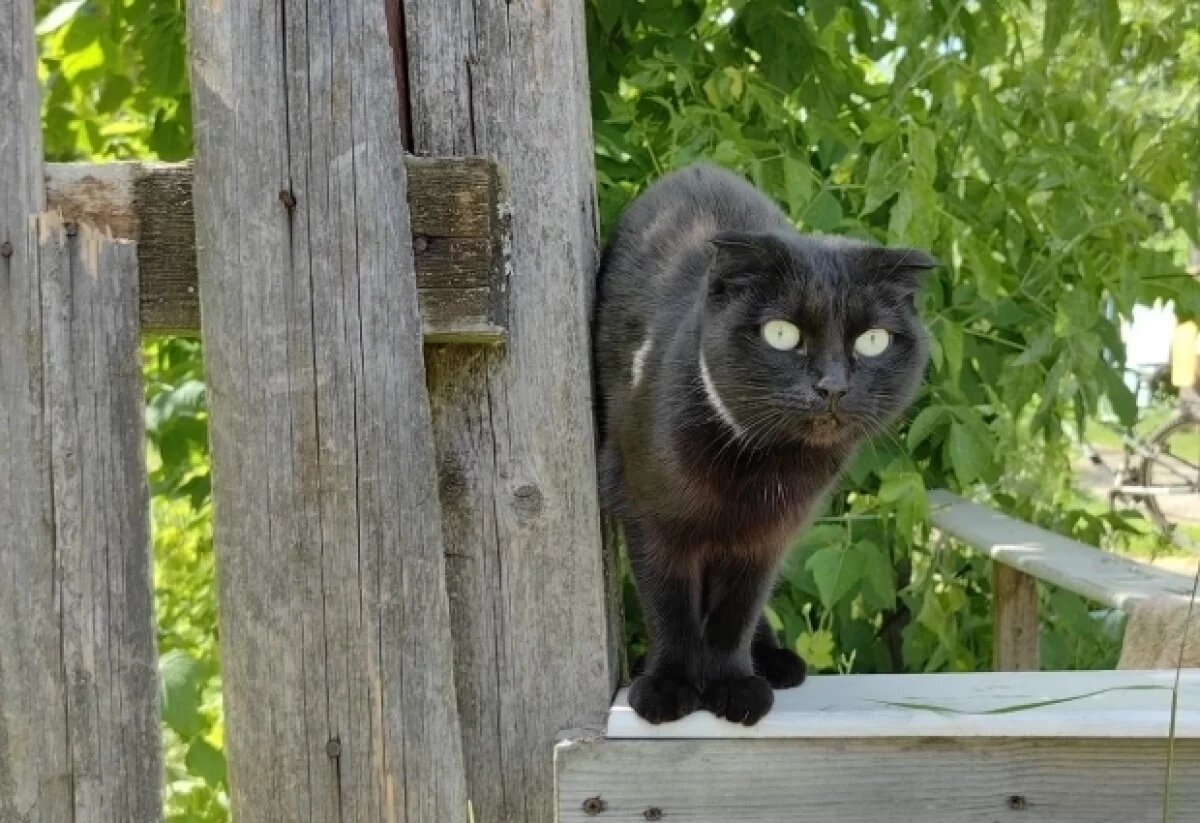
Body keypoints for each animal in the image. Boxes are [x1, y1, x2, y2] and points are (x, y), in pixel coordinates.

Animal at [595, 163, 931, 729]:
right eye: (782, 333)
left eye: (872, 340)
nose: (833, 386)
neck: (758, 467)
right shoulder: (651, 519)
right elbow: (669, 607)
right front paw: (668, 686)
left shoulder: (765, 539)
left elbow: (737, 613)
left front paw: (733, 686)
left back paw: (772, 660)